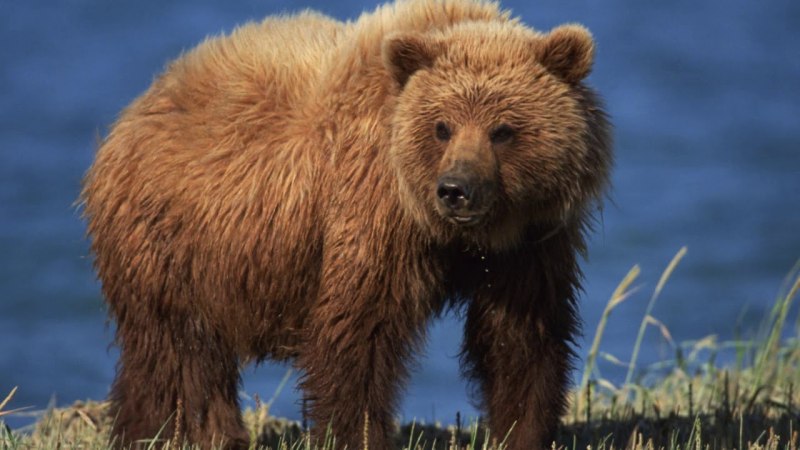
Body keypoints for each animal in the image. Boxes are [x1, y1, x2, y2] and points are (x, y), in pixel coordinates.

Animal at [80, 0, 611, 448]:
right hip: (172, 243)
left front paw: (523, 430)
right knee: (179, 355)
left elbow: (520, 337)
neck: (455, 235)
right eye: (441, 126)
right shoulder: (372, 213)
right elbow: (358, 335)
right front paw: (356, 433)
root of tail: (133, 111)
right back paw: (188, 434)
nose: (455, 189)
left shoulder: (530, 241)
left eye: (503, 130)